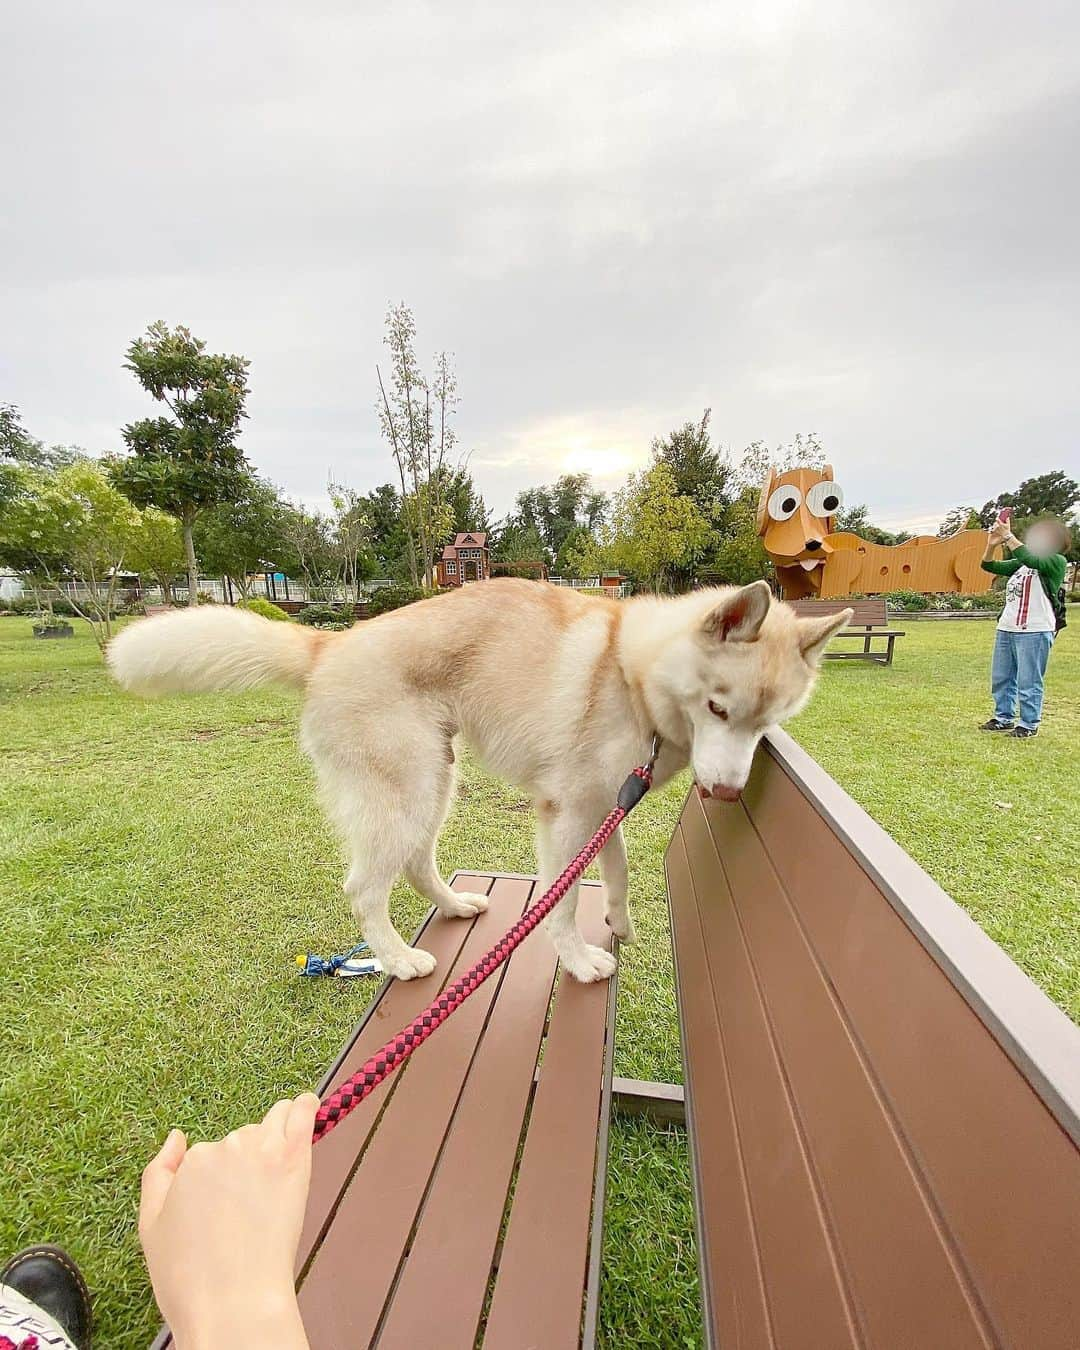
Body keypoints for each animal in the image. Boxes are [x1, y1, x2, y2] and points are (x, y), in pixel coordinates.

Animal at [112, 577, 853, 982]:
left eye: (771, 724)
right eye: (719, 709)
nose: (725, 793)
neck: (630, 672)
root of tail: (329, 643)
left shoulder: (604, 806)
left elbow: (614, 871)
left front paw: (618, 921)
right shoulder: (565, 814)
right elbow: (560, 902)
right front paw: (580, 961)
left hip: (435, 783)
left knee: (418, 867)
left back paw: (453, 906)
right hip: (407, 793)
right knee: (364, 888)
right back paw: (398, 960)